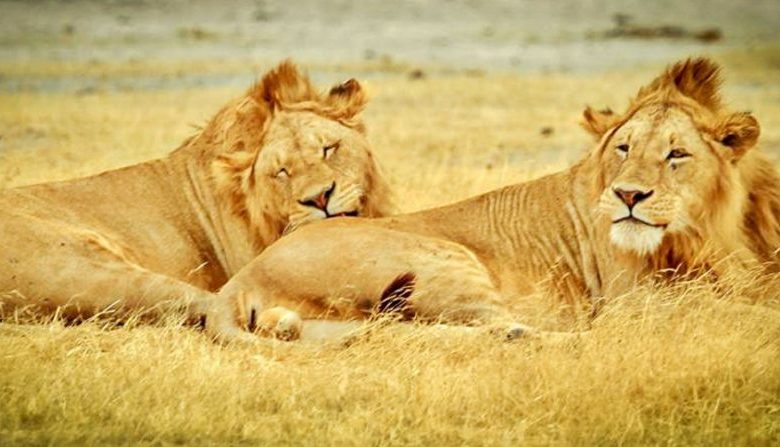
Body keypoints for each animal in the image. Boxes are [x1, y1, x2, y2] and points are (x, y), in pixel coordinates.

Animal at [206, 57, 780, 342]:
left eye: (676, 154)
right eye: (624, 148)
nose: (628, 196)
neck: (708, 234)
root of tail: (241, 276)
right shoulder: (637, 301)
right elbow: (738, 313)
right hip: (443, 258)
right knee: (489, 331)